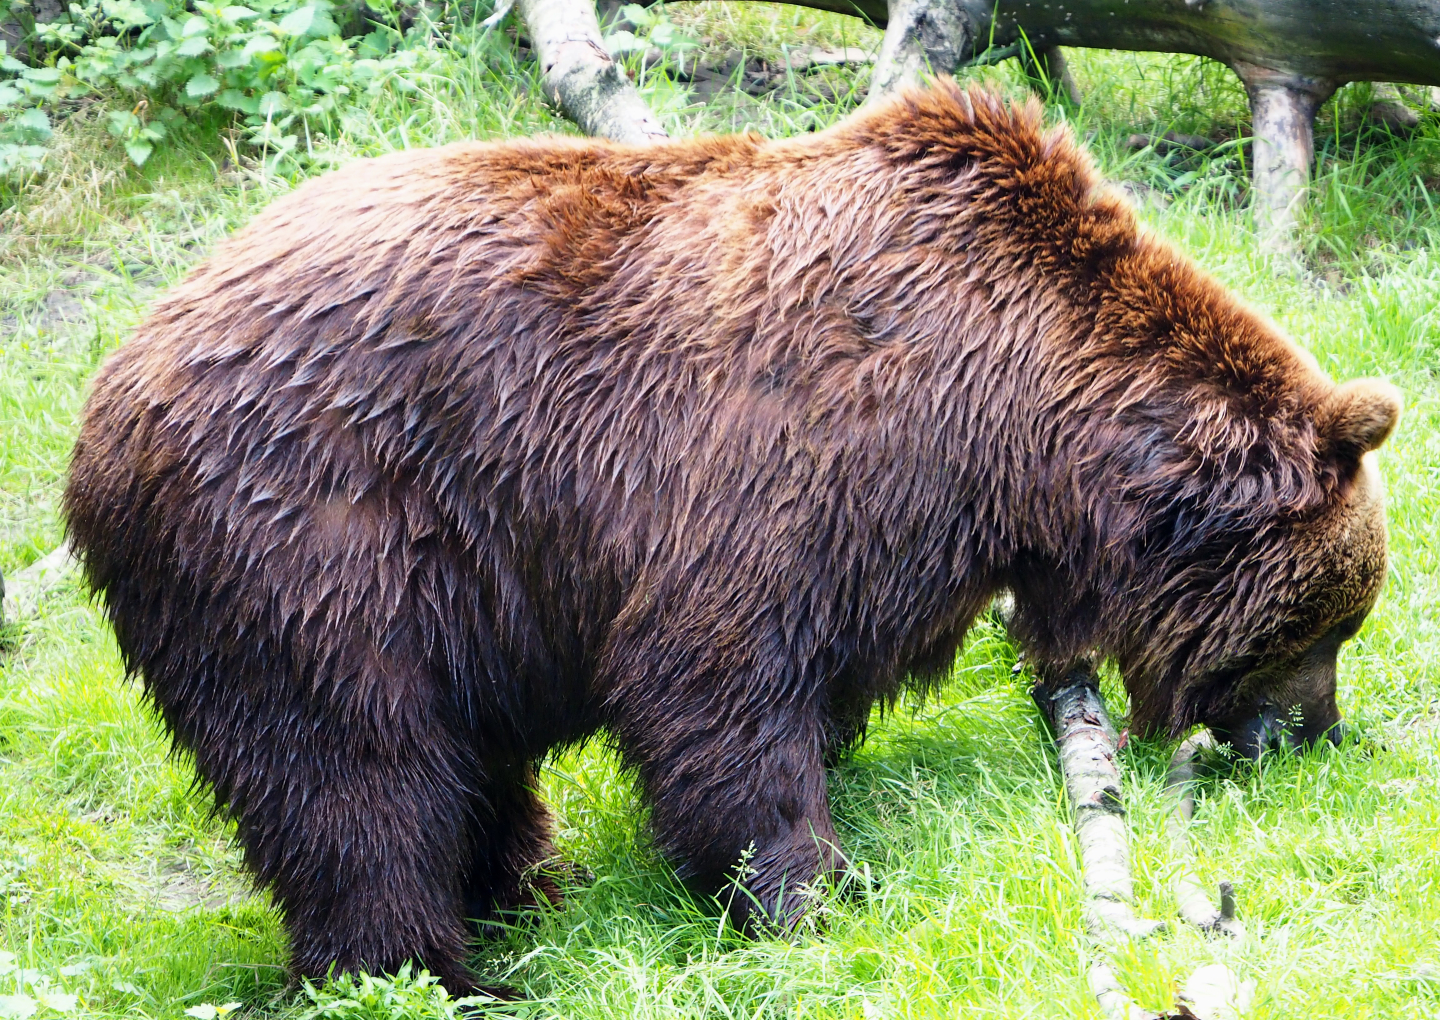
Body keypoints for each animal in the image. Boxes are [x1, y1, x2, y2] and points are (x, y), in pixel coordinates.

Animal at [63, 80, 1400, 992]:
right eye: (1328, 619)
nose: (1319, 733)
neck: (1017, 423)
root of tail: (102, 402)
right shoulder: (788, 466)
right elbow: (715, 682)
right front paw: (811, 887)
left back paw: (526, 887)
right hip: (312, 541)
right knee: (355, 775)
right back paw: (432, 967)